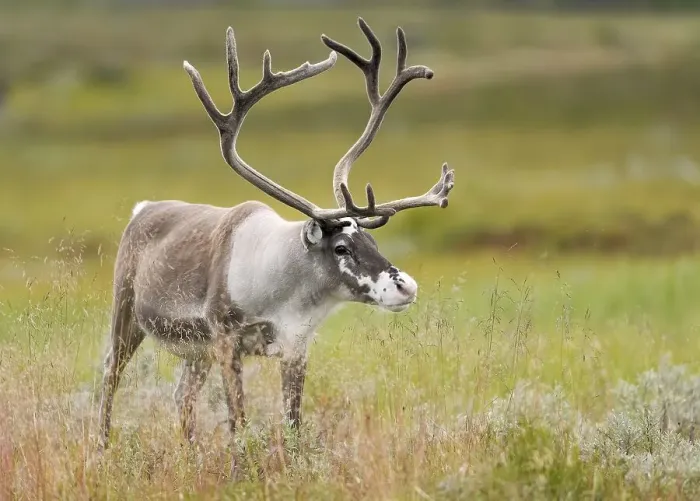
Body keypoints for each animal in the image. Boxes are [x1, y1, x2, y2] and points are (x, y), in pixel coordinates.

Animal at [96, 17, 454, 475]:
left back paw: (190, 458)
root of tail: (142, 208)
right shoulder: (226, 339)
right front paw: (238, 472)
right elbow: (239, 421)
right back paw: (101, 451)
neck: (282, 291)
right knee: (110, 377)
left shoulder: (295, 348)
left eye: (371, 237)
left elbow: (293, 424)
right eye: (341, 247)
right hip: (126, 311)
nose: (405, 285)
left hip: (195, 351)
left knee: (182, 396)